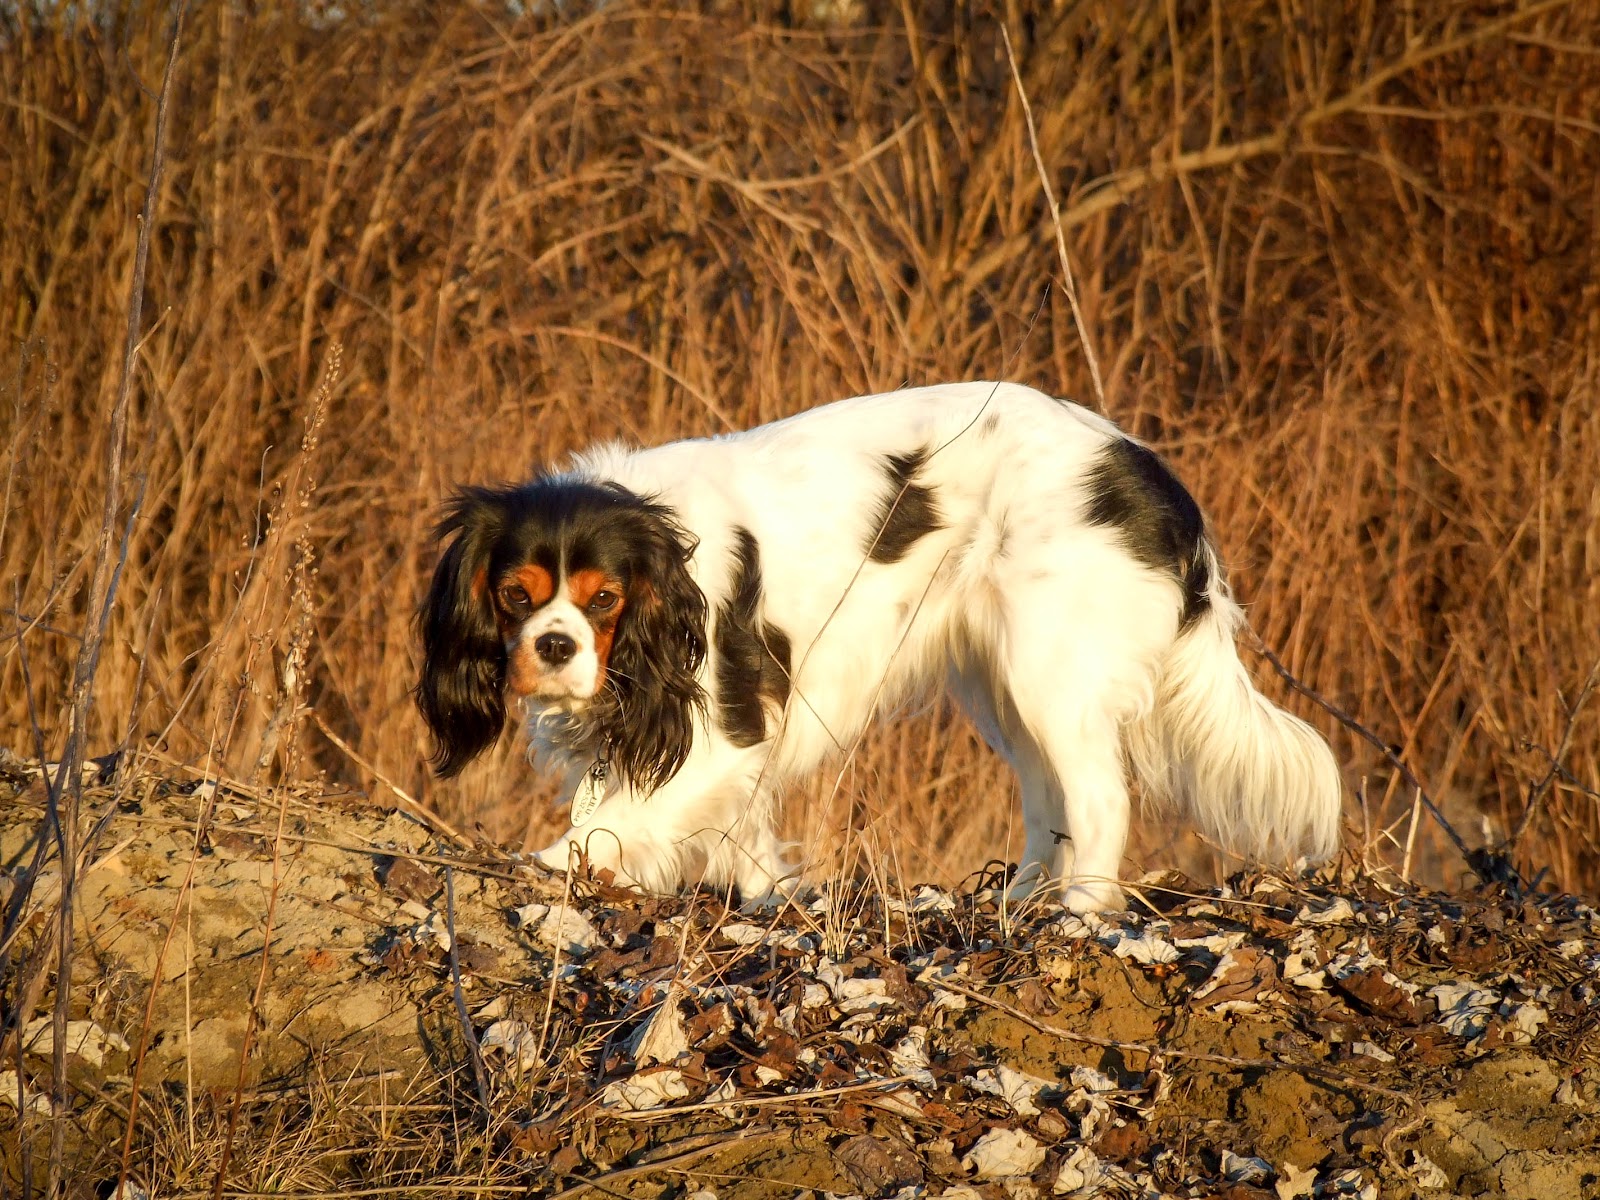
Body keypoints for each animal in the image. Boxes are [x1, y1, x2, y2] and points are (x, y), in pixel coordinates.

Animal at [416, 382, 1342, 911]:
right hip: (1002, 686)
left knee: (1101, 802)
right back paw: (1017, 905)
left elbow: (606, 825)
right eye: (515, 596)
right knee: (1050, 801)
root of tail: (1155, 480)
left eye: (604, 600)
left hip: (1049, 670)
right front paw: (770, 897)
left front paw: (533, 866)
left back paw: (1080, 917)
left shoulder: (723, 739)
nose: (554, 645)